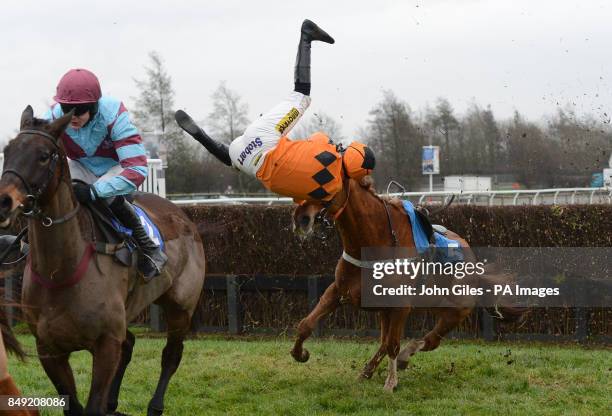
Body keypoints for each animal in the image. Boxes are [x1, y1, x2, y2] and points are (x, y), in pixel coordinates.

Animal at [0, 108, 207, 416]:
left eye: (44, 155)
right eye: (8, 150)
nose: (3, 201)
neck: (61, 271)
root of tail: (182, 215)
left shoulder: (106, 344)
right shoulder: (49, 349)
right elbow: (73, 405)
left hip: (181, 306)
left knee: (171, 354)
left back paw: (154, 406)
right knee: (130, 343)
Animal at [290, 177, 524, 392]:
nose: (301, 218)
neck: (374, 243)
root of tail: (475, 264)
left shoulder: (401, 306)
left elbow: (394, 344)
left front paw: (390, 383)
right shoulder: (338, 292)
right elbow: (306, 324)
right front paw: (300, 353)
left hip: (456, 312)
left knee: (429, 341)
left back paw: (404, 356)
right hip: (394, 310)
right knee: (386, 342)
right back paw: (367, 371)